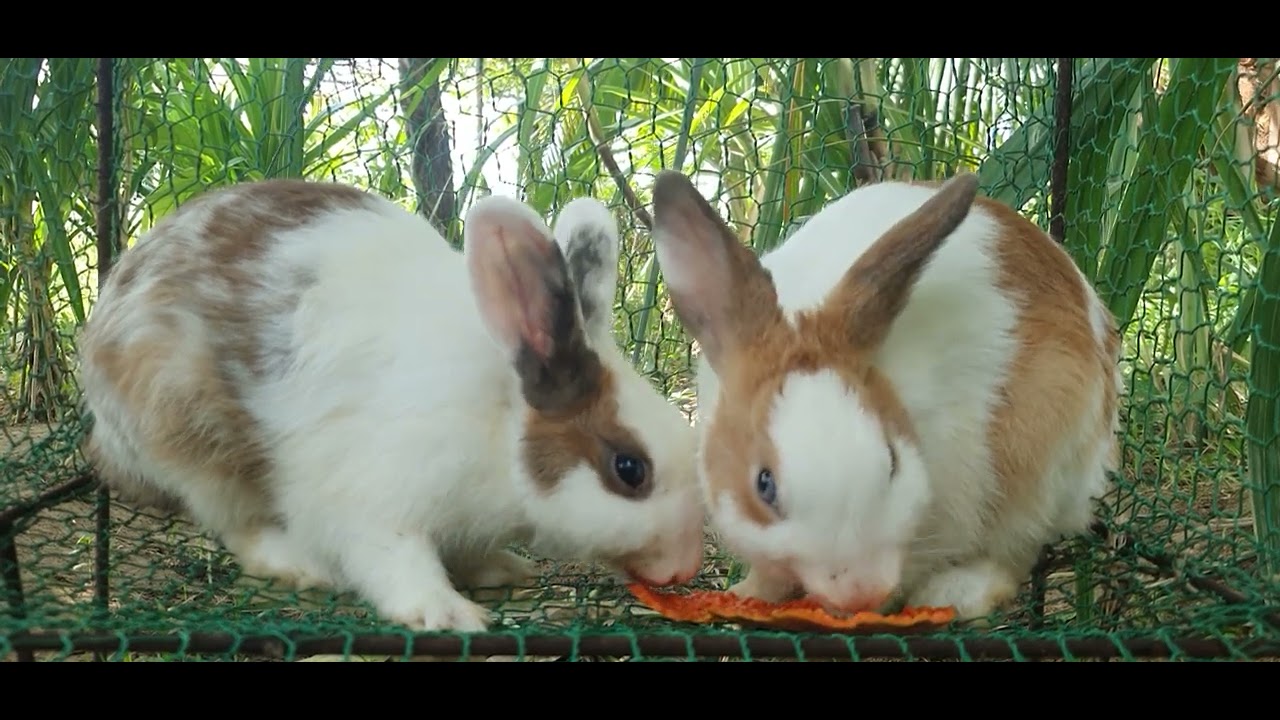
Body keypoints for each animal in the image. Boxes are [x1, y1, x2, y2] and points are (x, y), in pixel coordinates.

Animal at [76, 178, 706, 633]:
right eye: (630, 469)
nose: (686, 565)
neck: (497, 423)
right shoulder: (372, 500)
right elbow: (395, 560)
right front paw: (447, 613)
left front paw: (501, 569)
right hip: (194, 437)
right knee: (238, 525)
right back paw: (299, 563)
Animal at [647, 170, 1122, 622]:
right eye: (764, 485)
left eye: (893, 462)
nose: (861, 590)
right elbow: (768, 573)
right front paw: (744, 596)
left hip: (1036, 463)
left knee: (1016, 552)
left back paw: (954, 594)